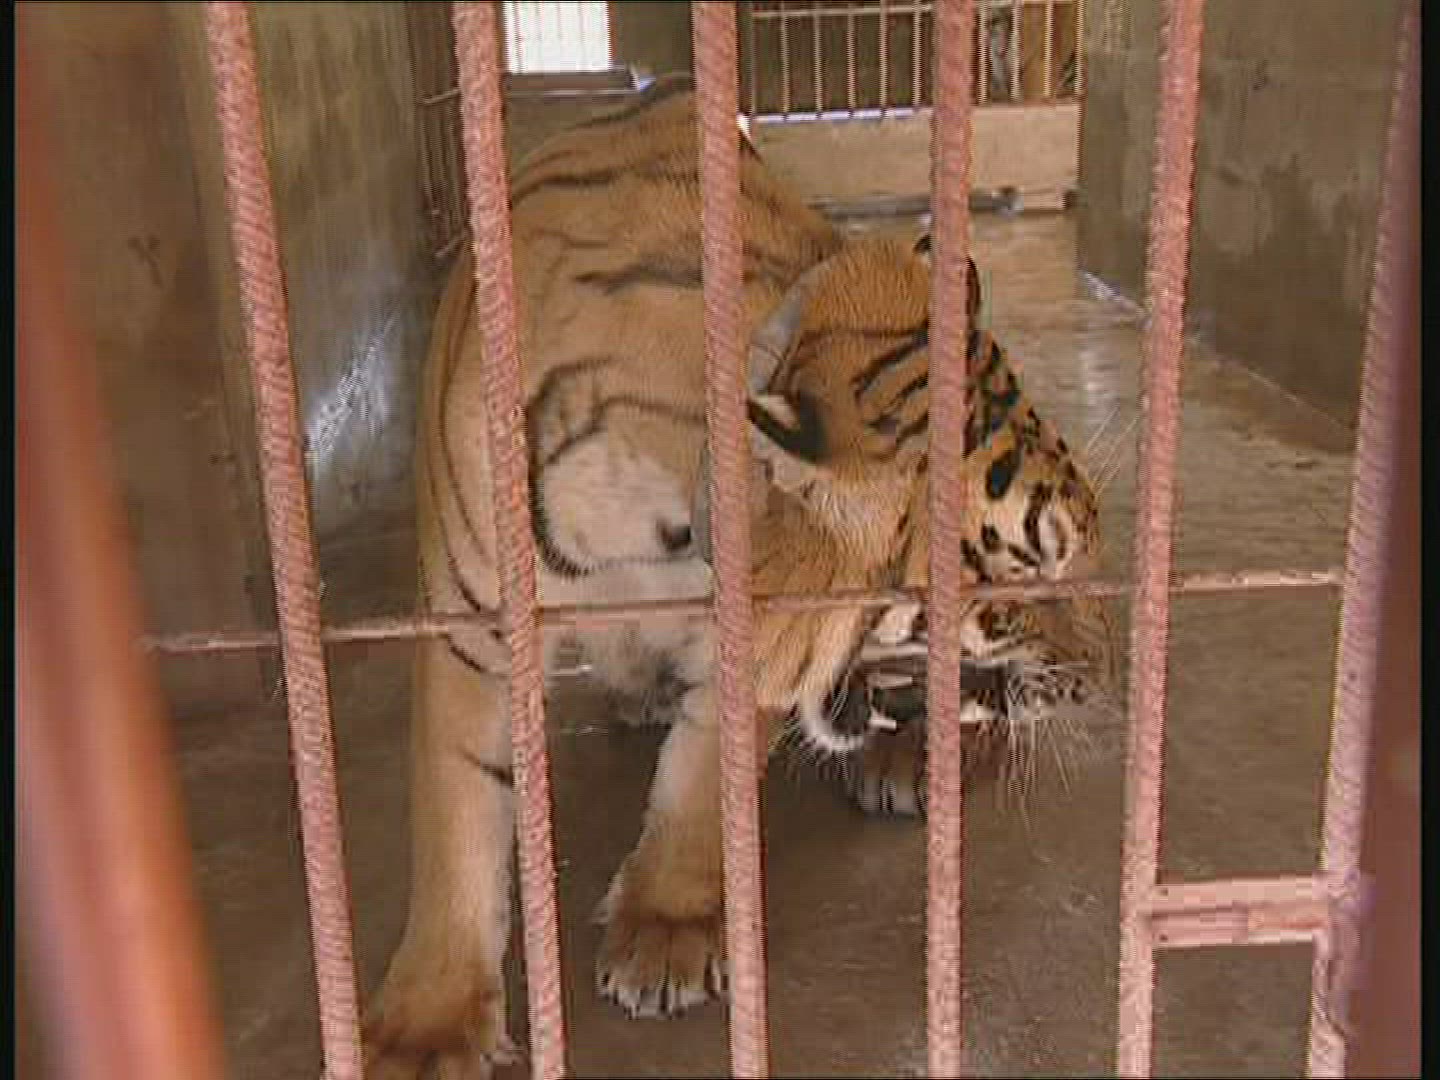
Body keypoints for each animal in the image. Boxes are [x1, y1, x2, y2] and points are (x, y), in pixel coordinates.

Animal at [363, 74, 1114, 1079]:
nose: (1103, 674)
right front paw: (427, 1028)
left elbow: (699, 786)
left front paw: (666, 933)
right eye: (1021, 575)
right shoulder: (472, 628)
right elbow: (456, 820)